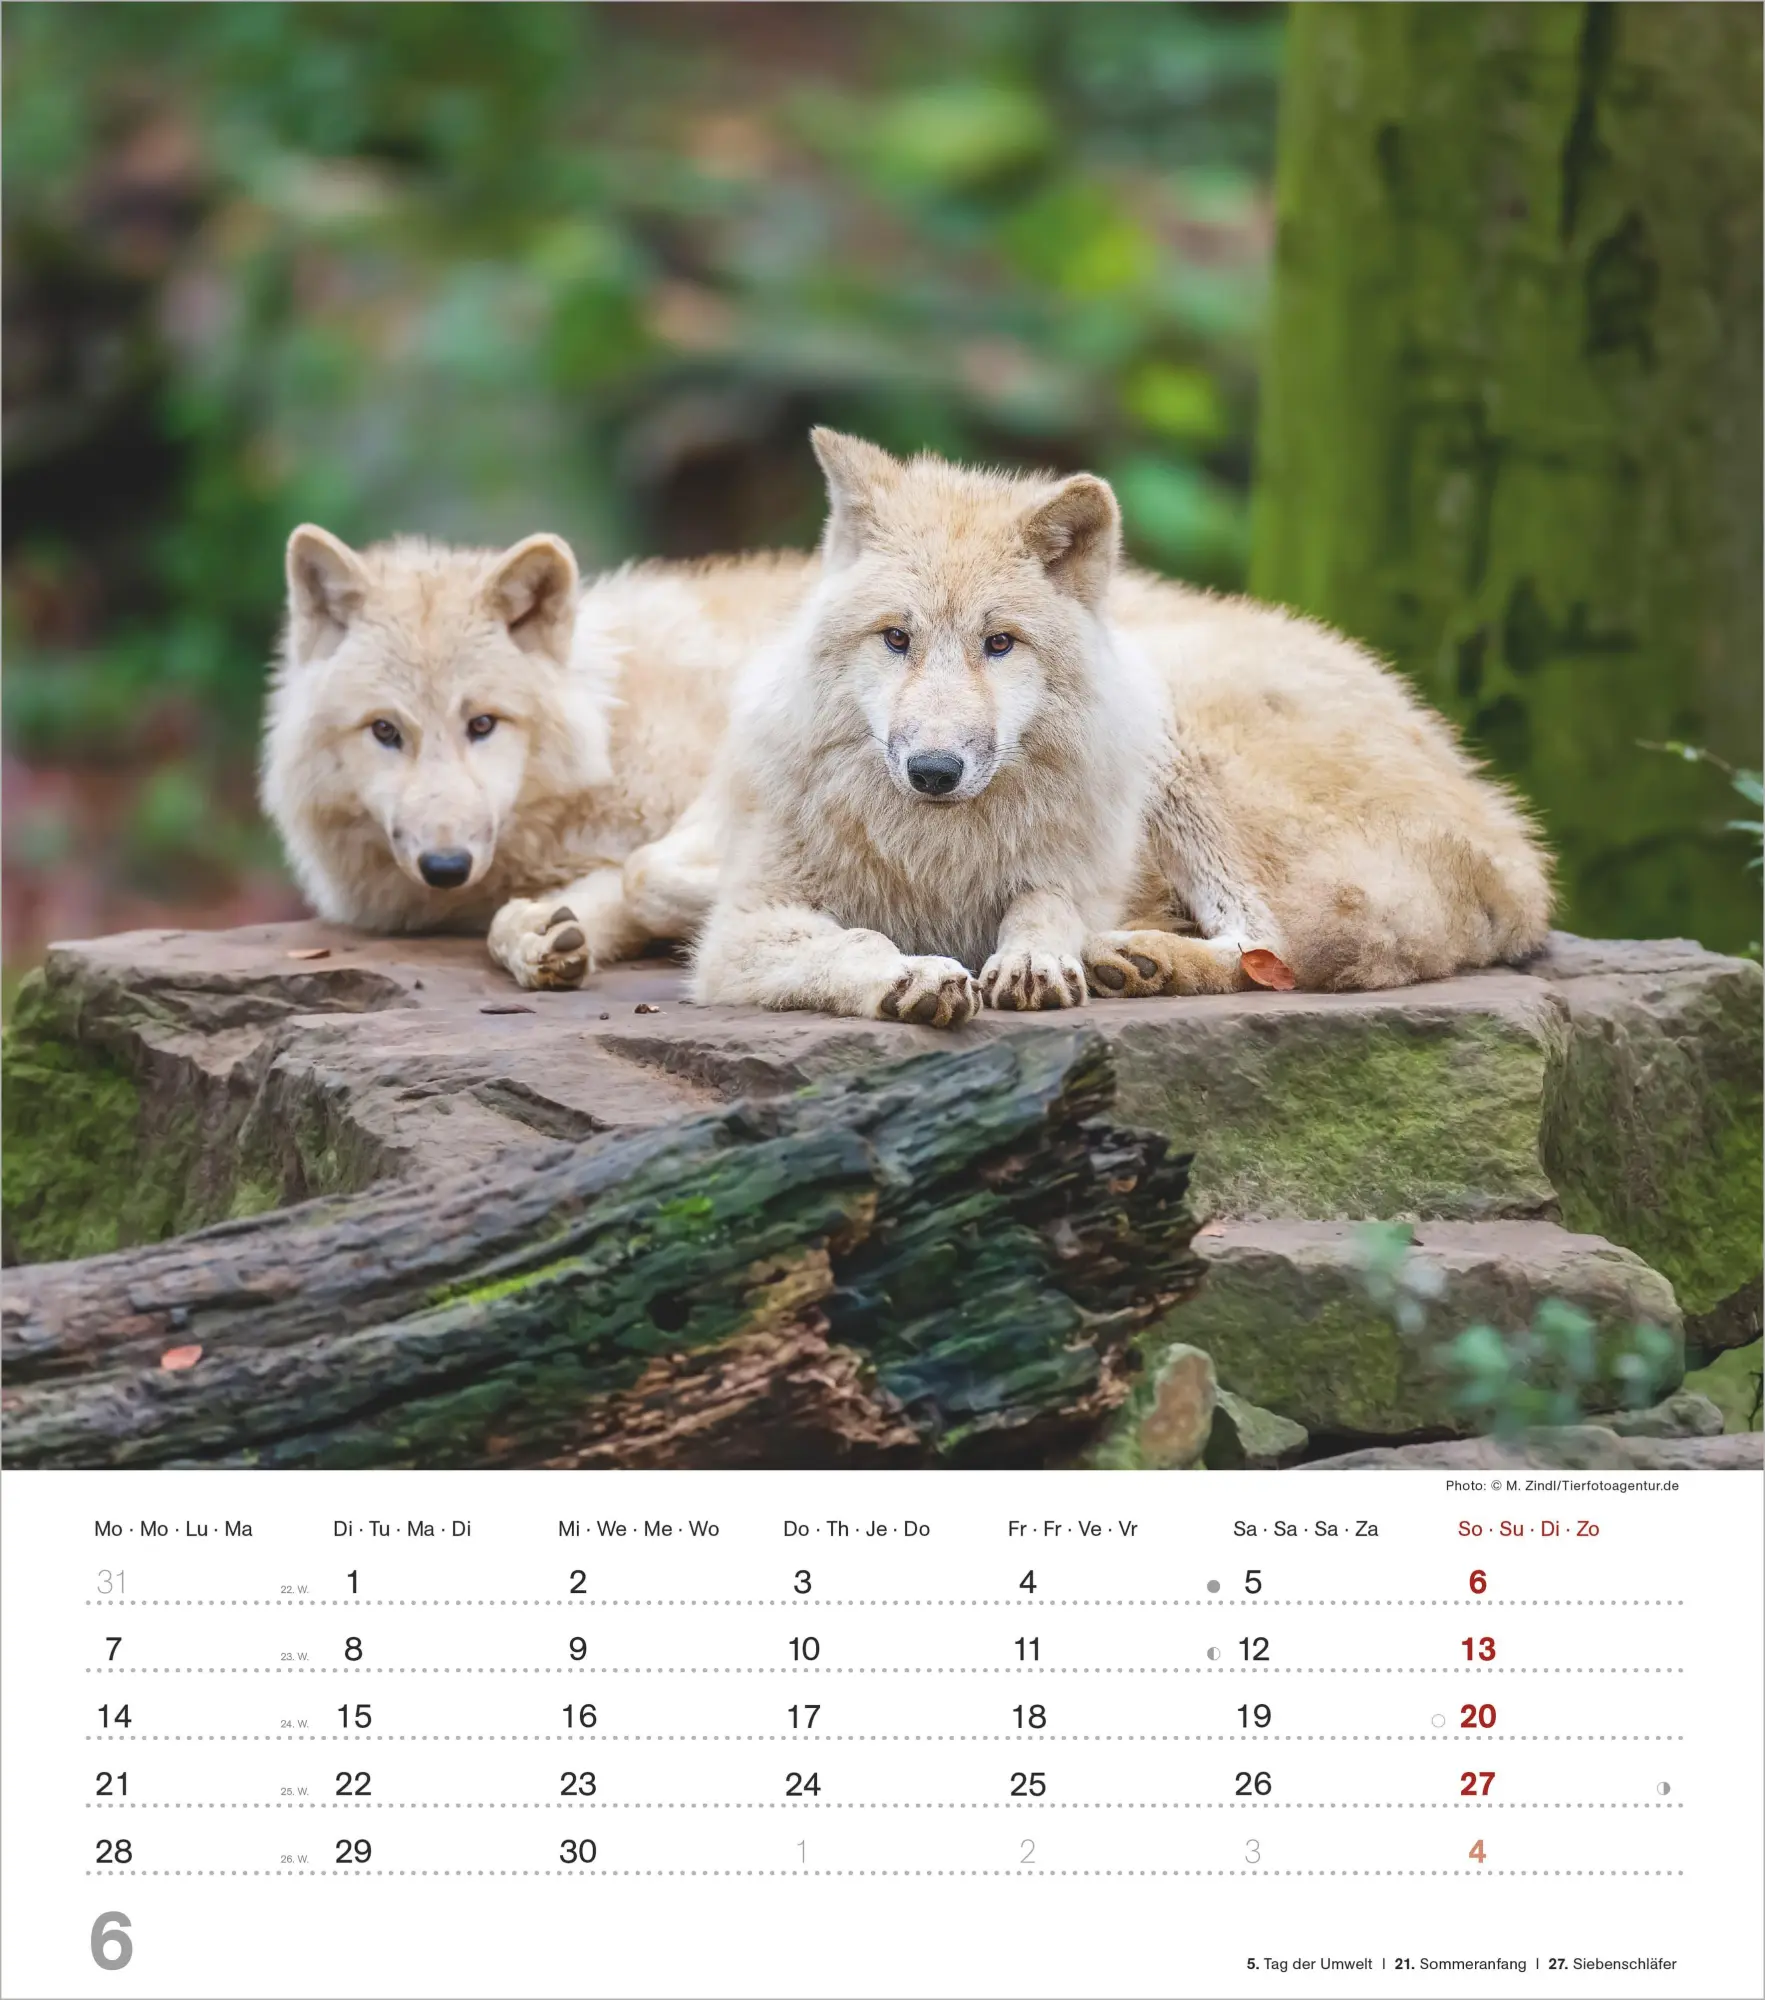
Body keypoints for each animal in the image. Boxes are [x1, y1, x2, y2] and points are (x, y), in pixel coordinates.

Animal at [261, 526, 811, 987]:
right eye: (384, 730)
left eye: (483, 724)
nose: (446, 866)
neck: (611, 731)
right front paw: (539, 938)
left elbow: (642, 873)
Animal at [691, 430, 1552, 1023]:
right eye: (896, 638)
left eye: (998, 644)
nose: (933, 770)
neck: (935, 854)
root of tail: (1513, 845)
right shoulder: (741, 928)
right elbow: (858, 940)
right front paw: (914, 974)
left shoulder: (1074, 875)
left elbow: (1043, 906)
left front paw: (1036, 957)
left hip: (1173, 725)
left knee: (1269, 947)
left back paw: (1134, 958)